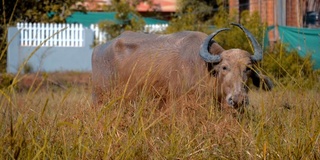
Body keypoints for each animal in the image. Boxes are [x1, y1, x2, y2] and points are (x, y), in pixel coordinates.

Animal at [90, 22, 272, 110]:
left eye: (248, 69)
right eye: (224, 67)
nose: (238, 99)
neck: (204, 69)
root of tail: (98, 49)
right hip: (100, 98)